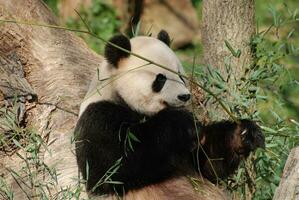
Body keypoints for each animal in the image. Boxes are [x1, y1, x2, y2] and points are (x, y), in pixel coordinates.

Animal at [74, 30, 264, 199]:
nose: (184, 96)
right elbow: (116, 166)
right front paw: (179, 122)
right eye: (160, 78)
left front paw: (244, 133)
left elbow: (208, 163)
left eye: (180, 75)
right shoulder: (99, 117)